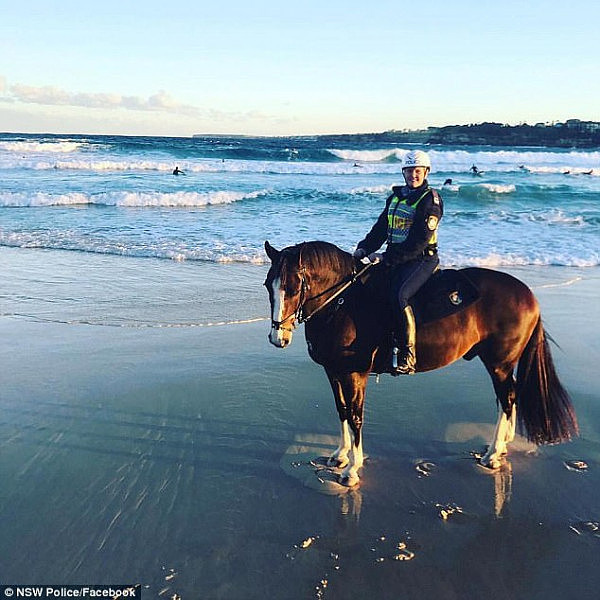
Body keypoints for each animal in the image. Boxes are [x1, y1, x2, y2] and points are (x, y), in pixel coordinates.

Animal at [264, 239, 580, 488]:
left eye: (293, 286)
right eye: (269, 285)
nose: (278, 337)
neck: (342, 303)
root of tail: (527, 294)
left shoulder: (356, 374)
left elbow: (355, 417)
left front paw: (352, 469)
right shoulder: (334, 371)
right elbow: (342, 411)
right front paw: (340, 456)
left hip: (499, 363)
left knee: (507, 397)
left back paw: (492, 454)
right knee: (509, 397)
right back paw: (503, 444)